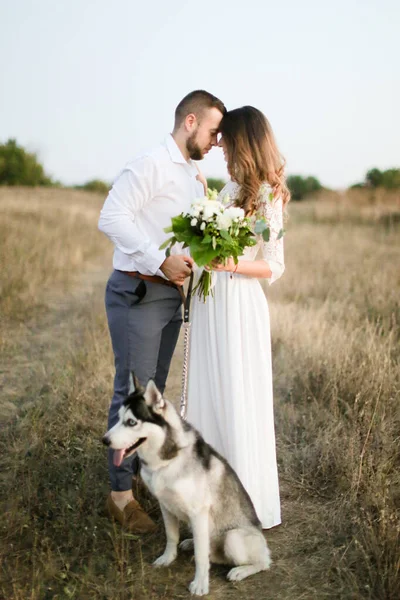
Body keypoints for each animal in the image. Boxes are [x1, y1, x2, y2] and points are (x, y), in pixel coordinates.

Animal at [103, 378, 272, 592]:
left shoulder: (198, 511)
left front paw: (200, 583)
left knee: (263, 562)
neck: (167, 461)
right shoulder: (165, 505)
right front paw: (167, 558)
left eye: (131, 422)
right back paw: (191, 542)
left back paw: (240, 570)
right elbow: (171, 536)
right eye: (117, 419)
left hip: (233, 538)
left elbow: (200, 556)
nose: (104, 440)